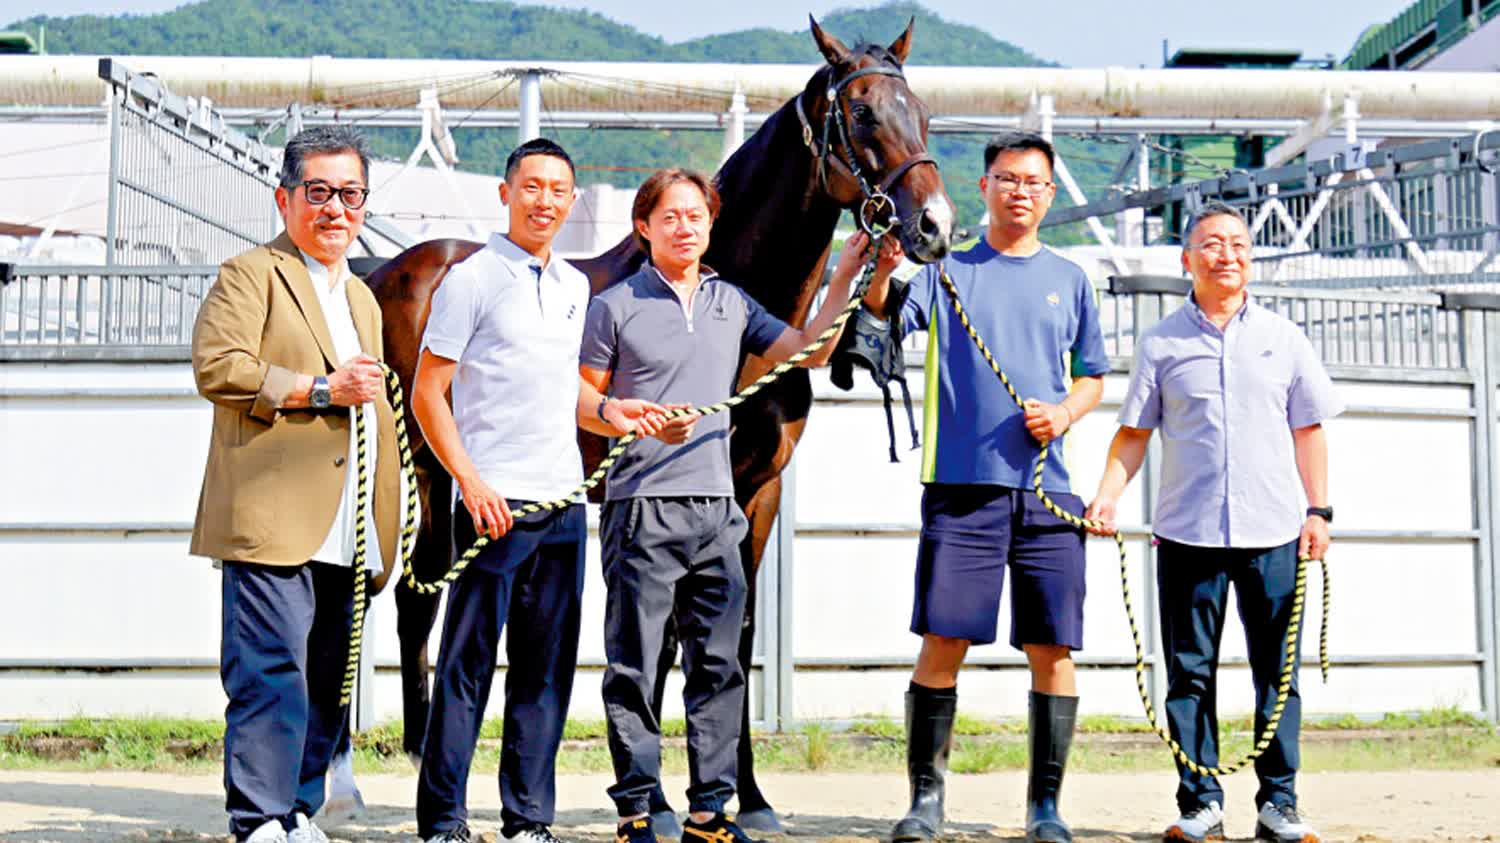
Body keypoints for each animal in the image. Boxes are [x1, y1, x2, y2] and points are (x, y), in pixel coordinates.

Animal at [361, 18, 948, 828]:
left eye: (921, 114)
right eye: (861, 114)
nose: (933, 226)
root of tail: (394, 271)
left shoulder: (755, 492)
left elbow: (733, 632)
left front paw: (747, 798)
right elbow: (658, 638)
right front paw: (657, 799)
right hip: (427, 458)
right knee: (418, 589)